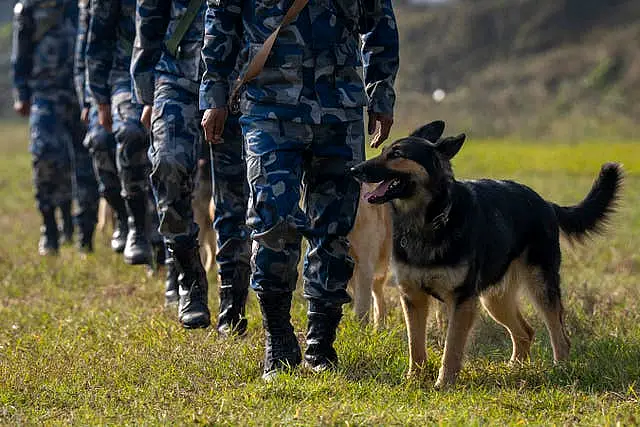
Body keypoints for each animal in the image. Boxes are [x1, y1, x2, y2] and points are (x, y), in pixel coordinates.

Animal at [350, 120, 624, 388]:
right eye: (384, 151)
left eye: (397, 154)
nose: (354, 170)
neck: (429, 222)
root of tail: (544, 202)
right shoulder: (414, 298)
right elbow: (415, 345)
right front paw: (414, 379)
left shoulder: (461, 301)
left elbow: (452, 347)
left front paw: (444, 383)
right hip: (494, 299)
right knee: (525, 332)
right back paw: (515, 368)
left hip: (539, 287)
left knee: (560, 335)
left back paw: (561, 370)